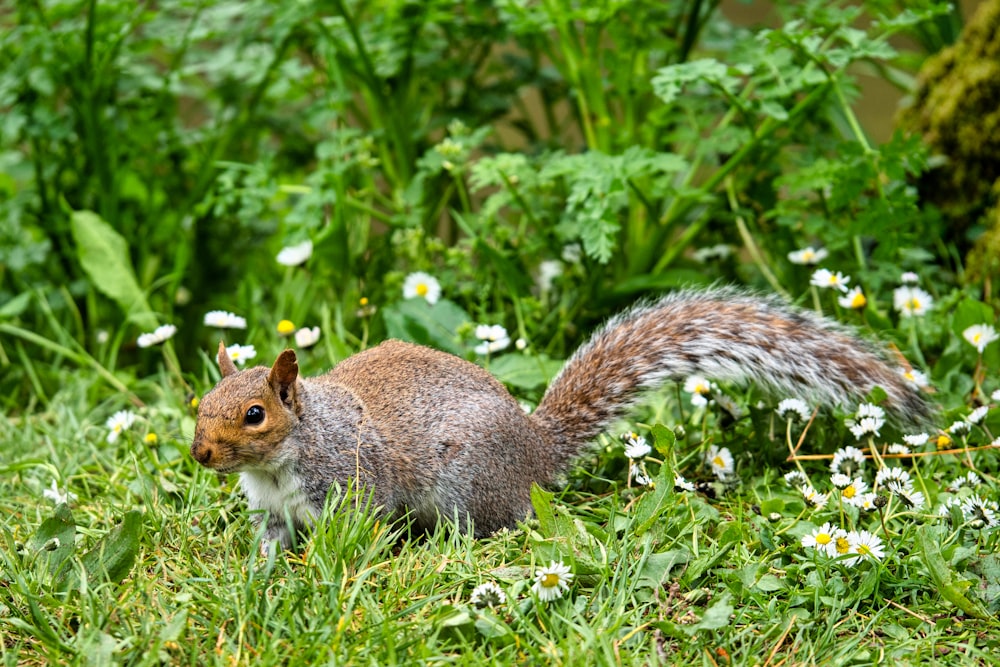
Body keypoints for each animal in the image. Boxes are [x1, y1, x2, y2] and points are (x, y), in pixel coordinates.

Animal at [189, 290, 928, 552]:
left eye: (254, 413)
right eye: (200, 403)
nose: (200, 454)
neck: (285, 459)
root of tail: (537, 452)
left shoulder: (353, 485)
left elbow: (359, 537)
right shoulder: (274, 510)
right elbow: (270, 545)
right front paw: (259, 578)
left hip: (467, 486)